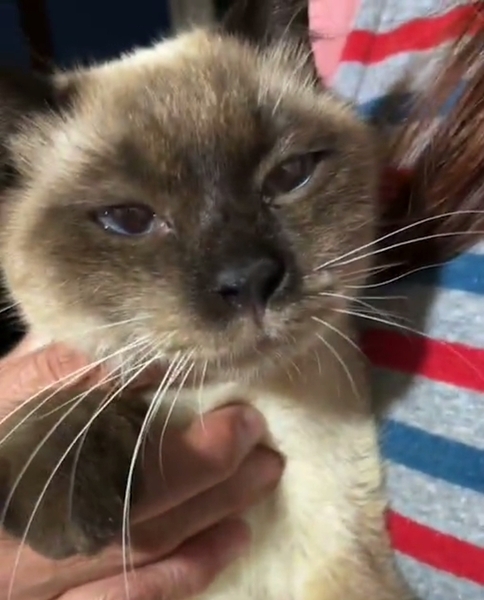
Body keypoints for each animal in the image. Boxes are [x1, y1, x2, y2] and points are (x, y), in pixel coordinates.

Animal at [0, 1, 415, 599]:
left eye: (289, 176)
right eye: (129, 219)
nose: (249, 279)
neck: (235, 397)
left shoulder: (348, 567)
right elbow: (67, 394)